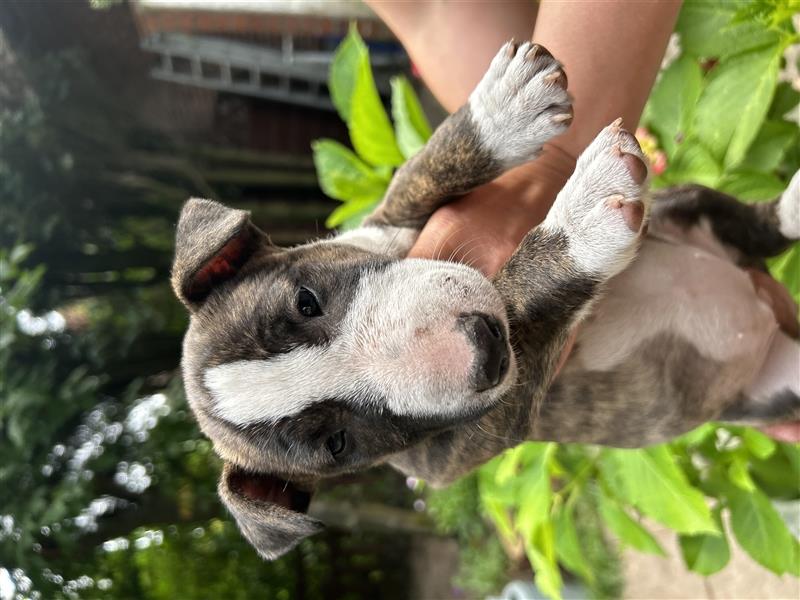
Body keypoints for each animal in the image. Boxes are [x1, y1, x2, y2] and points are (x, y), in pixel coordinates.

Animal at [170, 44, 800, 560]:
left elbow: (419, 173)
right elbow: (522, 307)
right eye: (338, 443)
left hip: (689, 207)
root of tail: (766, 315)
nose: (485, 348)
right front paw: (581, 229)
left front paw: (503, 111)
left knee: (761, 228)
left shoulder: (383, 224)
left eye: (307, 300)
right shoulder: (476, 438)